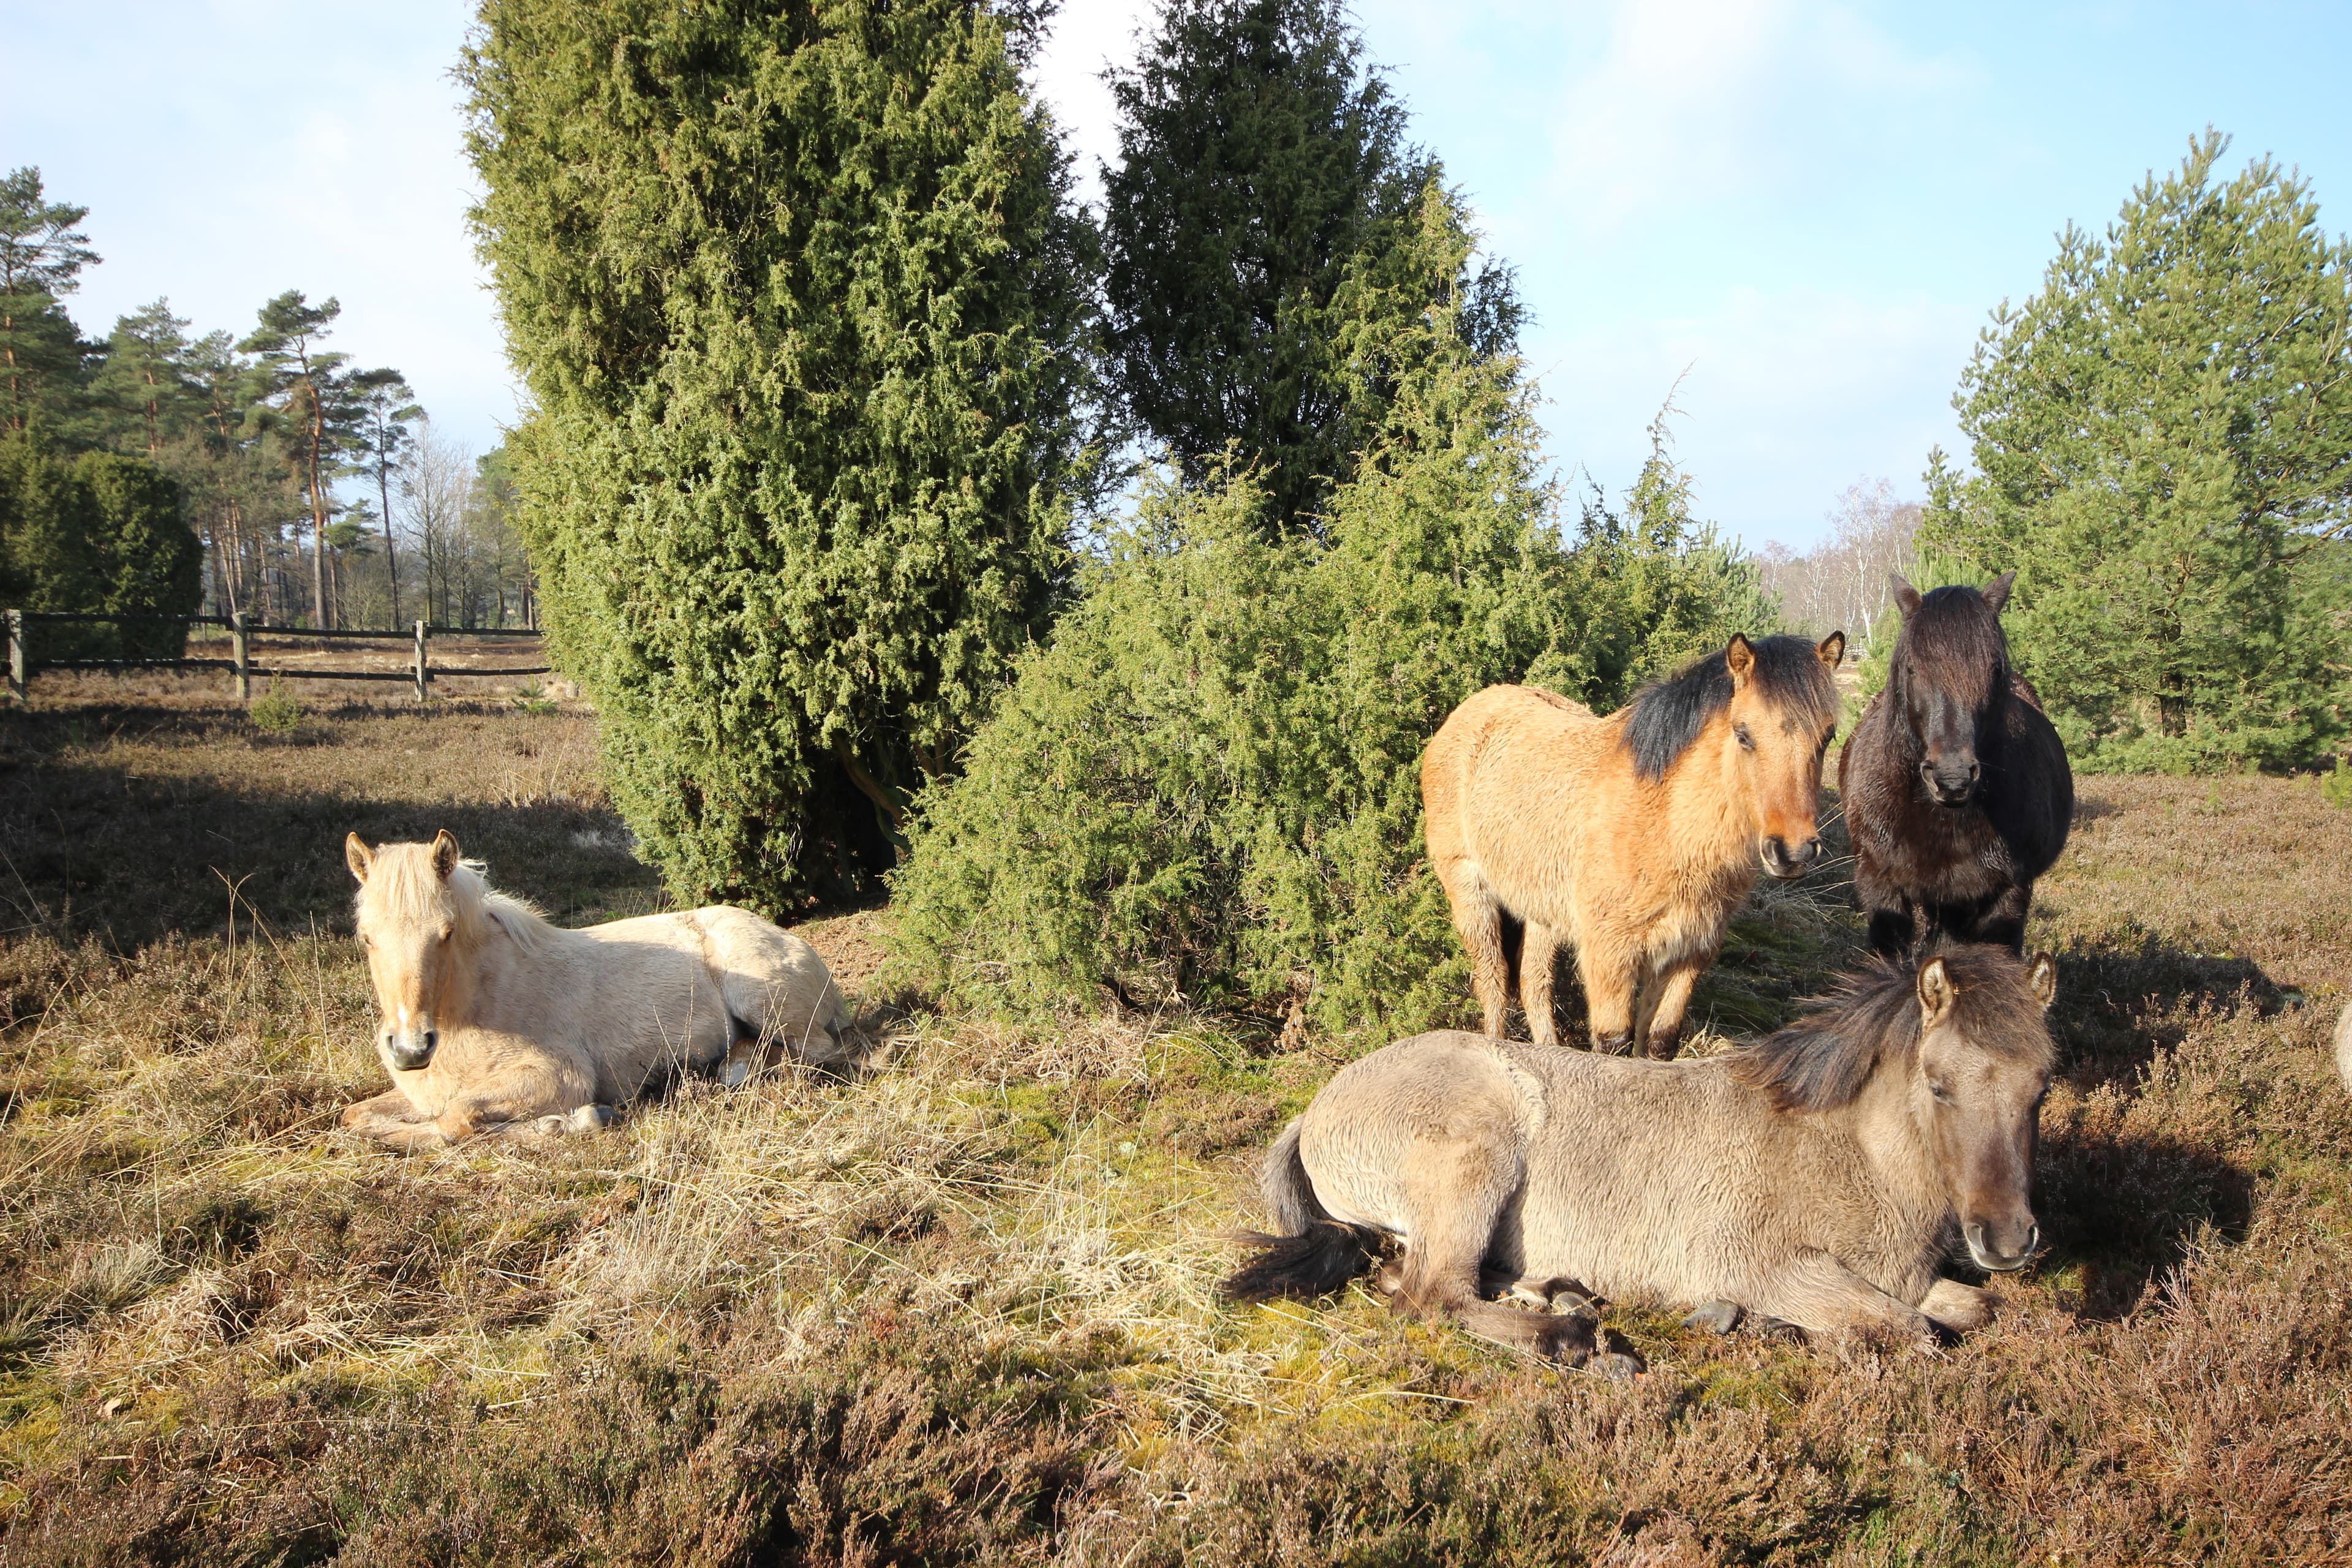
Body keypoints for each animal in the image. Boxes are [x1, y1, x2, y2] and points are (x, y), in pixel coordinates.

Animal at [326, 832, 851, 1152]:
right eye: (366, 937)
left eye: (446, 933)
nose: (410, 1049)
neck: (479, 1005)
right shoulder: (418, 1099)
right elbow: (362, 1118)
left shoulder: (558, 1077)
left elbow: (457, 1120)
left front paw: (576, 1121)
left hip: (763, 1000)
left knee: (818, 1051)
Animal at [1232, 944, 2060, 1373]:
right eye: (1939, 1083)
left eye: (2043, 1085)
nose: (2007, 1240)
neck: (1842, 1152)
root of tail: (1318, 1108)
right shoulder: (1771, 1265)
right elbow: (1910, 1331)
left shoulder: (1907, 1277)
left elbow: (1974, 1309)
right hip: (1474, 1159)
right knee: (1430, 1294)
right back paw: (1568, 1336)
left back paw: (1557, 1293)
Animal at [1420, 630, 1844, 1062]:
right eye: (1743, 735)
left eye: (1827, 736)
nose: (1792, 852)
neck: (1664, 824)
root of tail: (1468, 710)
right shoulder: (1610, 957)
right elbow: (1613, 1046)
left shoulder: (1687, 956)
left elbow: (1657, 1044)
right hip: (1470, 891)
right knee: (1493, 981)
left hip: (1542, 909)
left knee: (1533, 983)